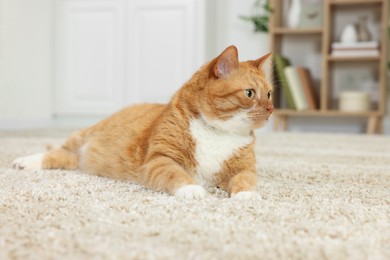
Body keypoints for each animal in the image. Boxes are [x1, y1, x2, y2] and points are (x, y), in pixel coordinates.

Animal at [12, 45, 274, 199]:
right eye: (250, 93)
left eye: (270, 94)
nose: (271, 109)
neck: (219, 134)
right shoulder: (159, 159)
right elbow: (176, 174)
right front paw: (191, 188)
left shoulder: (244, 168)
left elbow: (245, 179)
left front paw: (246, 195)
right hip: (83, 135)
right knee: (57, 151)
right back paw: (24, 162)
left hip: (79, 157)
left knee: (64, 158)